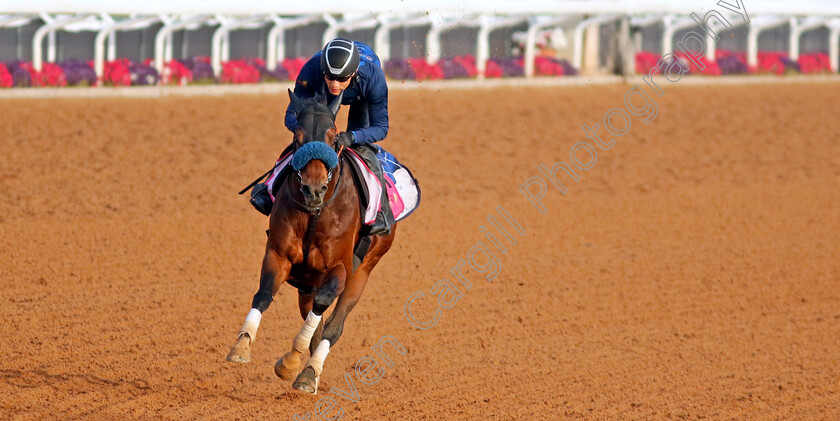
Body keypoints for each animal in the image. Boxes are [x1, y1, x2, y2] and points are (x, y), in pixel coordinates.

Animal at [226, 89, 398, 394]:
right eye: (298, 137)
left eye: (333, 136)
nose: (313, 189)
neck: (316, 213)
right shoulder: (279, 255)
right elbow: (264, 293)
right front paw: (242, 345)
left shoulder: (340, 269)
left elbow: (323, 305)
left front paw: (296, 363)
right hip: (307, 281)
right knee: (315, 322)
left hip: (363, 270)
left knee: (333, 326)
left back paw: (308, 372)